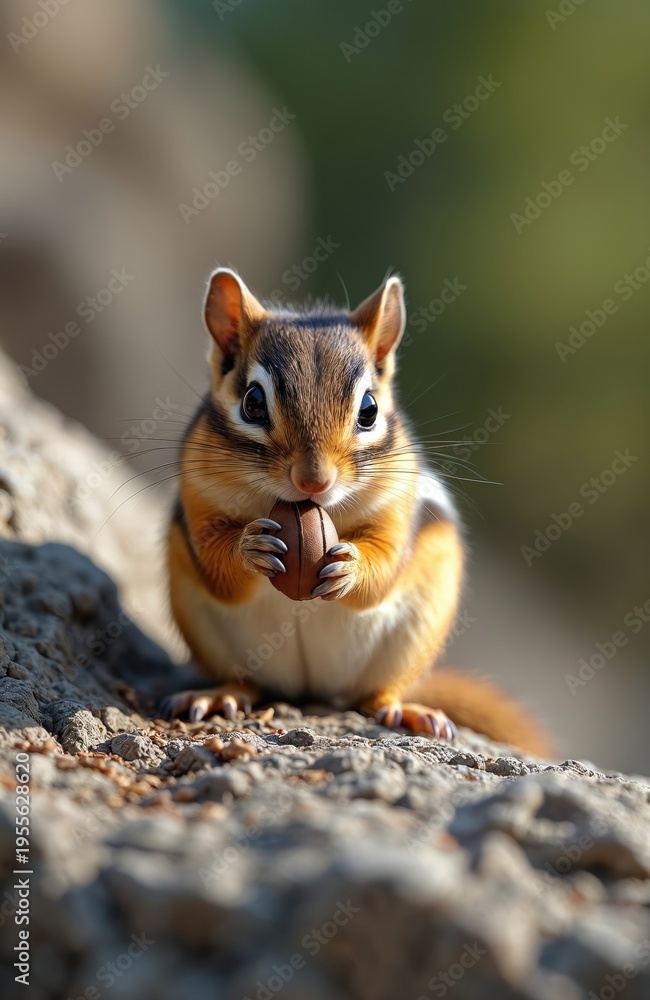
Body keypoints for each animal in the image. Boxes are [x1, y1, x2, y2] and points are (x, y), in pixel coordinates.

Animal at [163, 268, 551, 757]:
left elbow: (382, 568)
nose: (314, 481)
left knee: (376, 695)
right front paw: (250, 547)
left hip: (414, 636)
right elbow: (218, 565)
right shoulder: (198, 495)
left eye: (369, 410)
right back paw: (220, 695)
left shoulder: (396, 502)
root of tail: (312, 691)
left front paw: (350, 566)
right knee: (247, 683)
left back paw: (407, 710)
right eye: (252, 402)